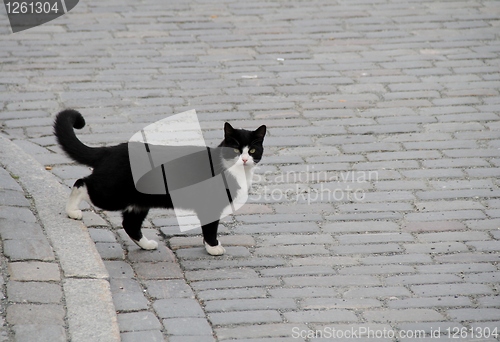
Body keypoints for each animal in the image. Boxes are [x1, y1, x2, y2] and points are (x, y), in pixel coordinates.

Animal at [53, 108, 266, 255]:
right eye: (236, 150)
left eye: (252, 150)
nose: (244, 159)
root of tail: (110, 150)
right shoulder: (210, 205)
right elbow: (210, 227)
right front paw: (213, 247)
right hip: (111, 194)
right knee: (82, 183)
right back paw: (72, 211)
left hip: (139, 202)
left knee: (130, 223)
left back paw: (147, 245)